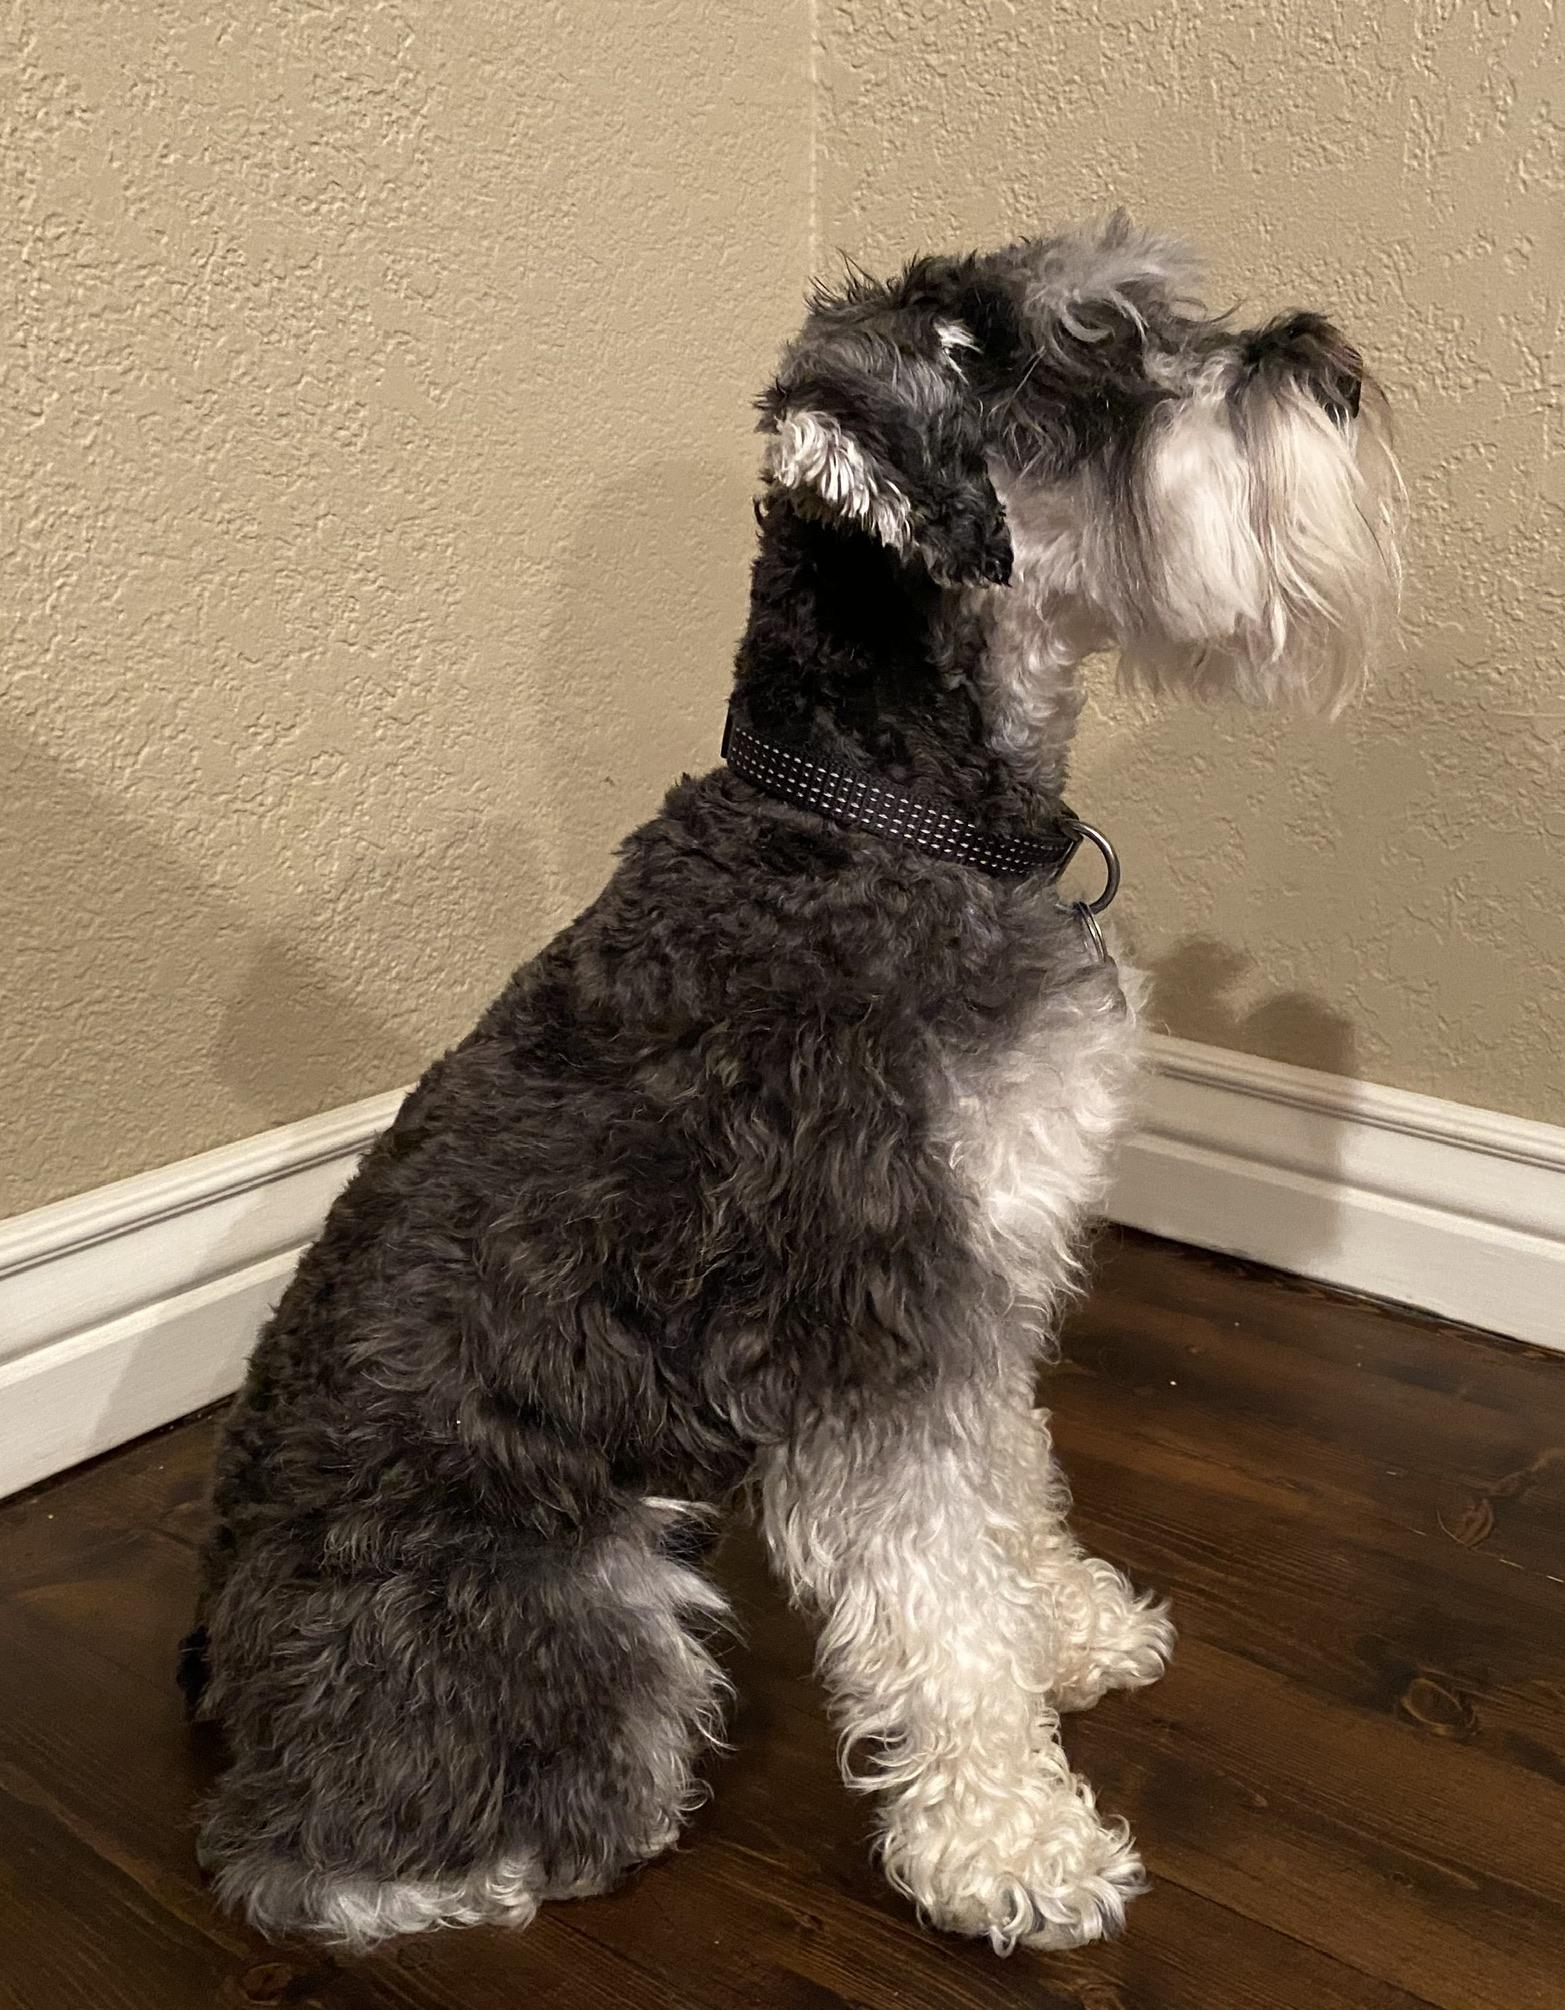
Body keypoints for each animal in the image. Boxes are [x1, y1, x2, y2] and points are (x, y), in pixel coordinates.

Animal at [182, 215, 1399, 1956]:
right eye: (1095, 364)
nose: (1336, 366)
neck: (882, 815)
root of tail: (228, 1670)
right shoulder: (863, 1309)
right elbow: (938, 1595)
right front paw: (1013, 1843)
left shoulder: (982, 1276)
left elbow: (1010, 1480)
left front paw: (1070, 1626)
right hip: (580, 1596)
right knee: (317, 1852)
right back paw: (486, 1861)